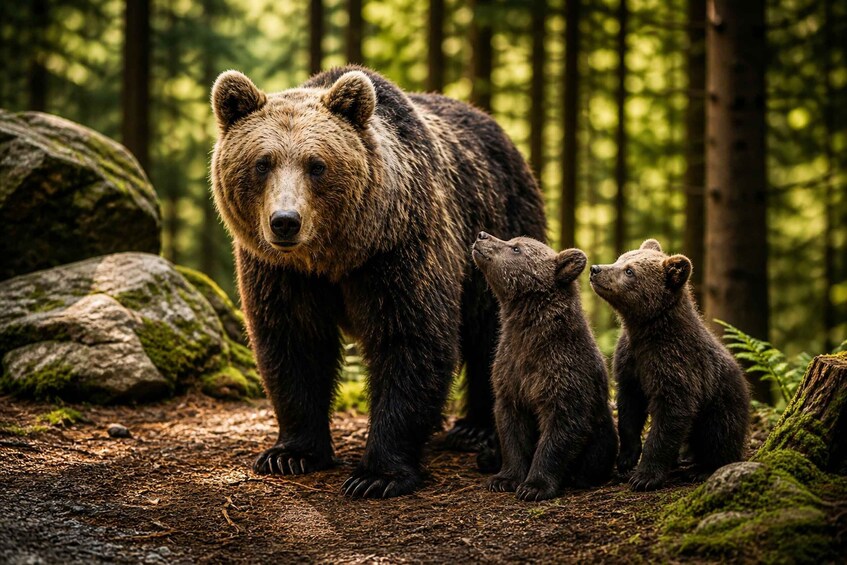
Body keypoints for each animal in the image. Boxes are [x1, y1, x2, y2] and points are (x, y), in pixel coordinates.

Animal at [210, 66, 546, 498]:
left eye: (316, 165)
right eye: (262, 163)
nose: (285, 221)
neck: (335, 256)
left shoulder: (399, 249)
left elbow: (410, 339)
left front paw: (376, 475)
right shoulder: (279, 271)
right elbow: (293, 342)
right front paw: (290, 453)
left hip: (499, 229)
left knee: (491, 330)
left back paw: (475, 430)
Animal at [471, 232, 618, 501]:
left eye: (516, 248)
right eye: (512, 241)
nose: (482, 235)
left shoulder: (563, 373)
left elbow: (561, 428)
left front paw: (534, 486)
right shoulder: (510, 371)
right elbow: (511, 427)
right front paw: (504, 478)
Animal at [589, 239, 750, 491]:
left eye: (630, 271)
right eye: (620, 258)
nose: (596, 269)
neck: (645, 331)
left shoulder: (676, 363)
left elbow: (671, 414)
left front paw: (644, 476)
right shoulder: (629, 361)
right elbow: (629, 408)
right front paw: (626, 459)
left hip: (723, 401)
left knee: (719, 434)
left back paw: (703, 469)